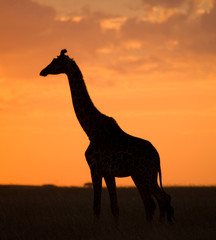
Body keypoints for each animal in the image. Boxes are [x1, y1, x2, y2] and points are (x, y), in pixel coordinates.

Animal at [40, 49, 174, 224]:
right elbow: (114, 207)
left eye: (56, 62)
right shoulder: (108, 173)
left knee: (159, 199)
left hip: (145, 173)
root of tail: (157, 156)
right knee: (155, 201)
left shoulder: (95, 169)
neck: (90, 130)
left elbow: (96, 207)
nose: (42, 71)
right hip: (141, 174)